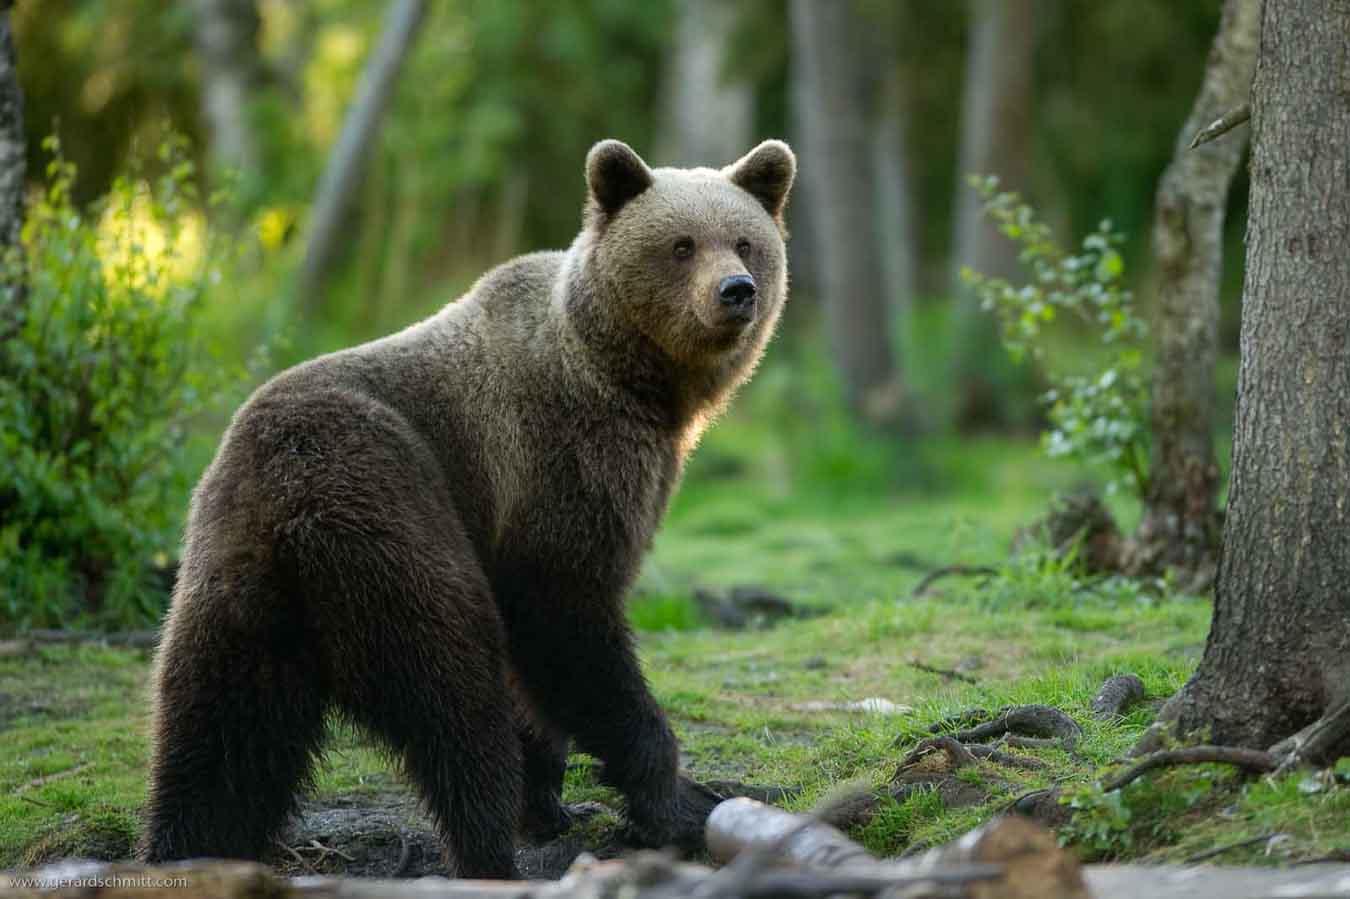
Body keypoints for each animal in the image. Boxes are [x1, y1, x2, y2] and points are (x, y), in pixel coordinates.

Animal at [139, 138, 796, 879]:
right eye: (681, 245)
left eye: (744, 241)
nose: (735, 290)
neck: (638, 384)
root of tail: (285, 509)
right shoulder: (562, 464)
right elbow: (568, 620)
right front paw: (668, 796)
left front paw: (551, 802)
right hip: (393, 525)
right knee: (454, 699)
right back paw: (489, 851)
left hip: (230, 589)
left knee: (218, 744)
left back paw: (182, 848)